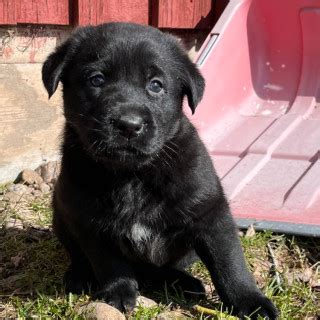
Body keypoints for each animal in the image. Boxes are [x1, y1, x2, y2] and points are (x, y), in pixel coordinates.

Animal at [42, 21, 278, 318]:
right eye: (96, 79)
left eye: (156, 85)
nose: (129, 125)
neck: (132, 174)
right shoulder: (89, 222)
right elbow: (109, 263)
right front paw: (118, 292)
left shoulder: (210, 213)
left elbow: (229, 263)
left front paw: (250, 300)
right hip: (61, 213)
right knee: (83, 257)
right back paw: (80, 276)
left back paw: (182, 282)